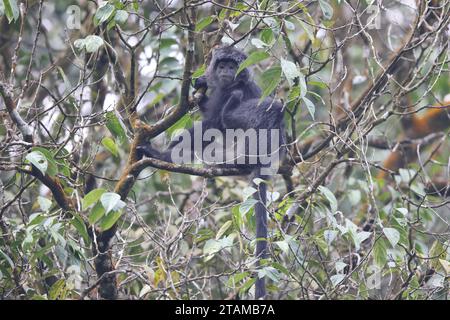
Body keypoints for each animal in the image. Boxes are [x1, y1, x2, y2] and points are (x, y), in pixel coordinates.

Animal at [136, 46, 284, 298]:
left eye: (233, 65)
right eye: (222, 64)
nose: (226, 70)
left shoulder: (238, 90)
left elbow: (214, 124)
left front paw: (161, 155)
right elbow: (209, 116)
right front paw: (201, 83)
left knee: (270, 109)